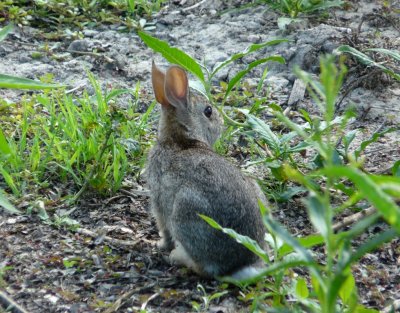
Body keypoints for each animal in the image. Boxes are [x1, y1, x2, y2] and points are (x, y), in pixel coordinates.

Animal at [145, 61, 268, 278]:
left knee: (204, 268)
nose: (221, 123)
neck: (179, 139)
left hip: (185, 210)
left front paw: (161, 245)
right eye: (208, 111)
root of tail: (240, 263)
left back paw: (176, 257)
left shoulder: (158, 202)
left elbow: (164, 229)